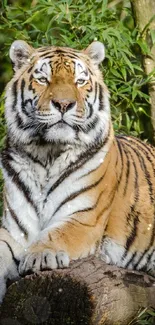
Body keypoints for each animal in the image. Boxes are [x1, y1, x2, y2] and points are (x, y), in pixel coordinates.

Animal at [0, 38, 154, 304]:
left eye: (79, 81)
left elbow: (56, 234)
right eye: (43, 79)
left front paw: (40, 255)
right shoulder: (16, 229)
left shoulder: (84, 218)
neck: (46, 154)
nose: (64, 104)